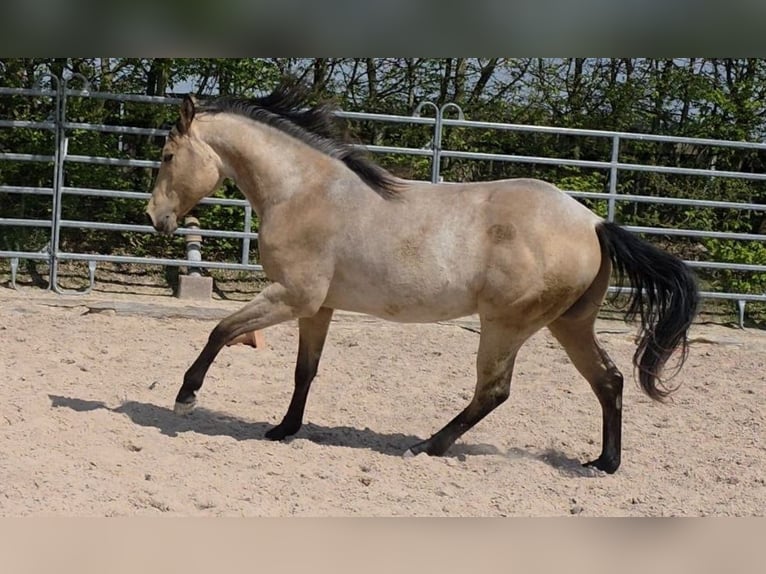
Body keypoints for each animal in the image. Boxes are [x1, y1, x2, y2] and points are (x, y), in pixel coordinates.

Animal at [146, 82, 699, 474]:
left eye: (168, 156)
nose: (156, 218)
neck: (304, 191)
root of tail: (592, 222)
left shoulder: (291, 297)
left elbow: (220, 331)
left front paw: (185, 398)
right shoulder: (317, 307)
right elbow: (305, 371)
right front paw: (284, 430)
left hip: (506, 324)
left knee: (494, 391)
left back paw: (426, 445)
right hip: (570, 324)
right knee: (608, 379)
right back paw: (603, 463)